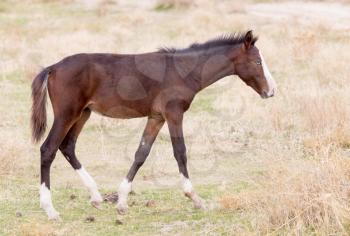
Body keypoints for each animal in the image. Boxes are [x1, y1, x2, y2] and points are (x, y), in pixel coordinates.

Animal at [30, 30, 276, 220]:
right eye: (257, 62)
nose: (271, 91)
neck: (183, 70)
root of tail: (53, 67)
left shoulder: (156, 117)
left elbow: (141, 153)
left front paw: (121, 202)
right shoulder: (173, 113)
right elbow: (180, 152)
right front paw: (195, 198)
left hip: (83, 114)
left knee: (67, 147)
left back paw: (96, 197)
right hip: (67, 114)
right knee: (48, 149)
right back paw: (50, 210)